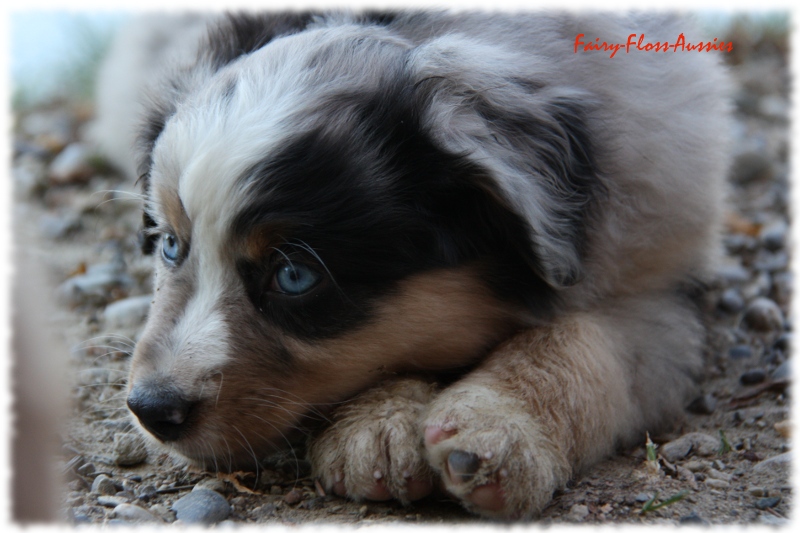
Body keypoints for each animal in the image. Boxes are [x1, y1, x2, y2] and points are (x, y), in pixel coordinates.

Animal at [100, 11, 732, 520]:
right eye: (171, 245)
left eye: (295, 276)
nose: (151, 410)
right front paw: (379, 429)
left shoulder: (665, 281)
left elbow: (588, 340)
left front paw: (500, 427)